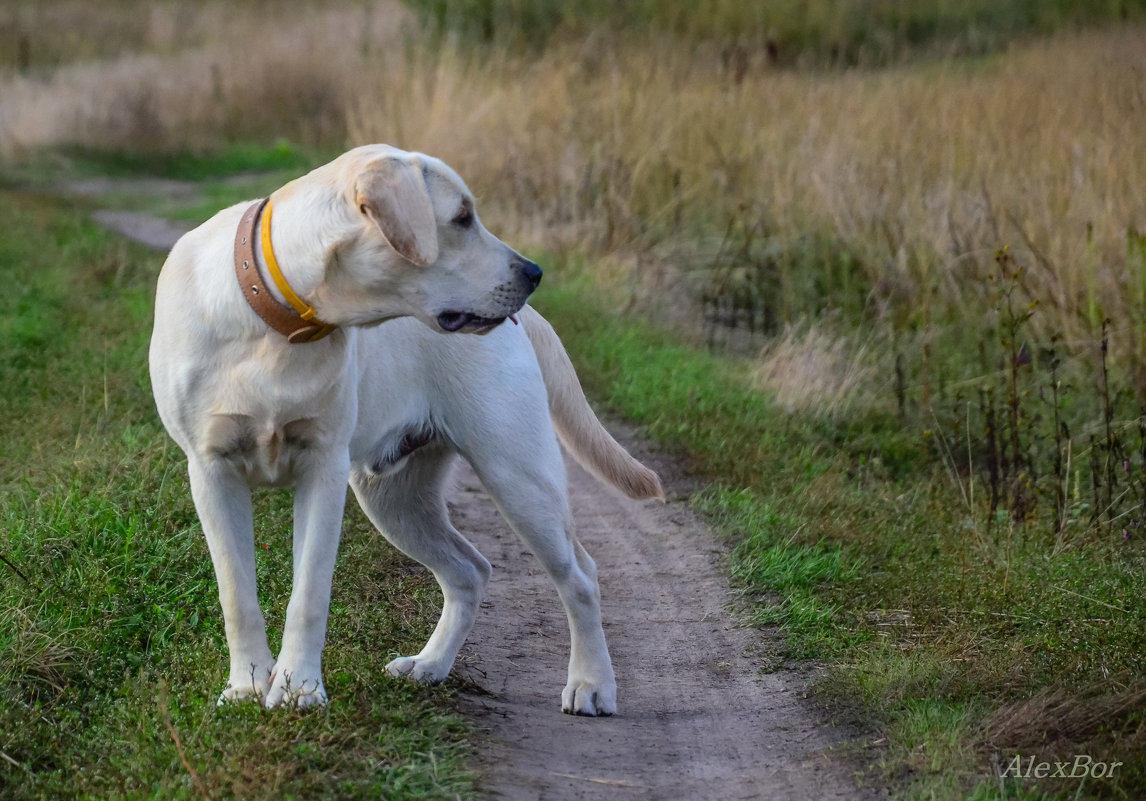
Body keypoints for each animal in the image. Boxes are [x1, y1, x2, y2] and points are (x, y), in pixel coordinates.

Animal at [146, 142, 664, 715]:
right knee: (470, 571)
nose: (535, 273)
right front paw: (247, 686)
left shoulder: (323, 470)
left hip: (519, 476)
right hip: (395, 499)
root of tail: (528, 320)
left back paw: (591, 685)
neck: (278, 324)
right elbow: (236, 594)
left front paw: (299, 688)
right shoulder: (212, 471)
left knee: (580, 577)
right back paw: (429, 665)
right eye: (460, 218)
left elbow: (308, 594)